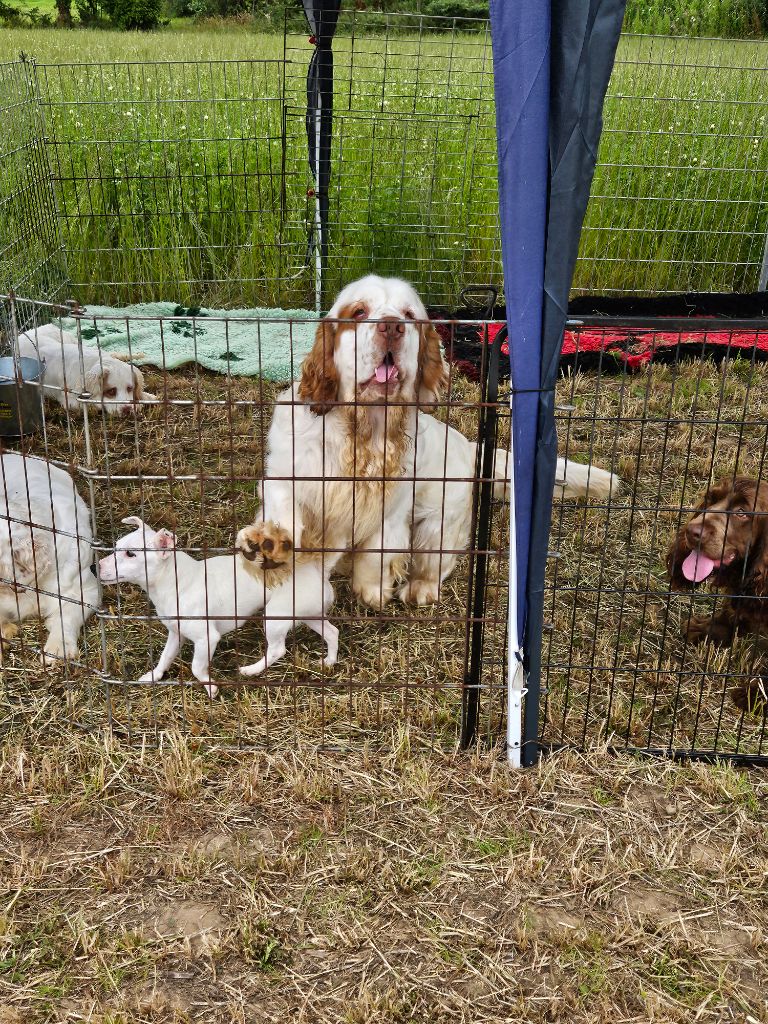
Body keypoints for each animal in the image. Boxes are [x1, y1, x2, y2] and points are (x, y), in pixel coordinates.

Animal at [18, 321, 157, 413]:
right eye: (111, 391)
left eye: (130, 388)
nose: (127, 409)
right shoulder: (70, 401)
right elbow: (96, 403)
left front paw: (148, 397)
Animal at [97, 516, 337, 700]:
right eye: (116, 547)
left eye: (131, 554)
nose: (93, 567)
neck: (176, 582)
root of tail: (319, 571)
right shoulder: (176, 633)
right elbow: (165, 657)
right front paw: (154, 676)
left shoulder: (207, 638)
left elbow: (196, 666)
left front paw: (210, 686)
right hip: (309, 614)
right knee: (332, 633)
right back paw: (329, 662)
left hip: (275, 618)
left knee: (278, 649)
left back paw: (251, 670)